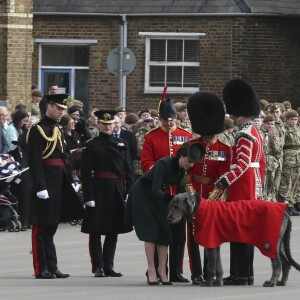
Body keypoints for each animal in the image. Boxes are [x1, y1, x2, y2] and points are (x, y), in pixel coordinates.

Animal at [168, 193, 300, 288]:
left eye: (176, 206)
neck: (199, 208)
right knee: (286, 263)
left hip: (269, 243)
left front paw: (208, 283)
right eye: (170, 205)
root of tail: (286, 213)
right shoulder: (215, 242)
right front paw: (218, 282)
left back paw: (272, 282)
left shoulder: (210, 243)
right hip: (278, 243)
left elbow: (210, 265)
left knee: (277, 263)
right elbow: (218, 264)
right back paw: (281, 282)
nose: (168, 218)